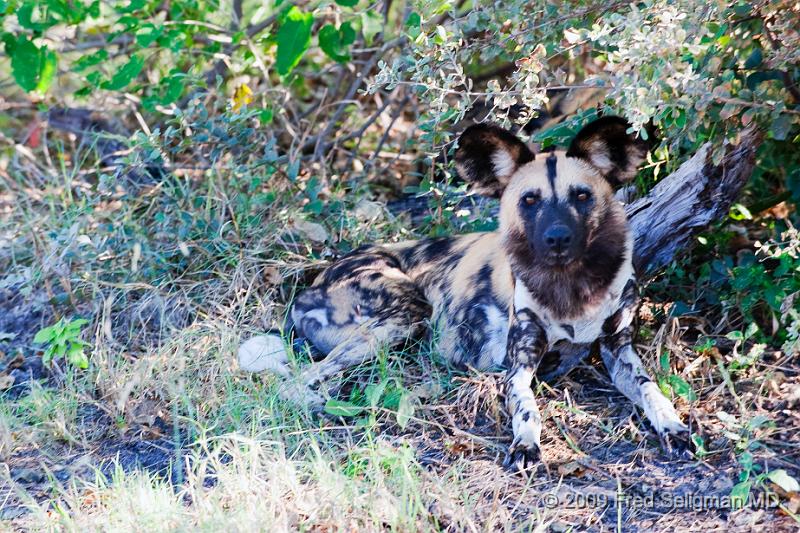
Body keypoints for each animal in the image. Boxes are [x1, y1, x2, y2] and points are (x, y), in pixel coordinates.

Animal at [241, 116, 692, 470]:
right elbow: (527, 407)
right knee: (294, 383)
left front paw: (673, 426)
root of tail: (313, 283)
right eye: (530, 201)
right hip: (405, 315)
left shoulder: (619, 350)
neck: (573, 287)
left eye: (581, 196)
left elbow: (651, 389)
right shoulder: (519, 363)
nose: (557, 238)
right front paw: (526, 445)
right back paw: (325, 406)